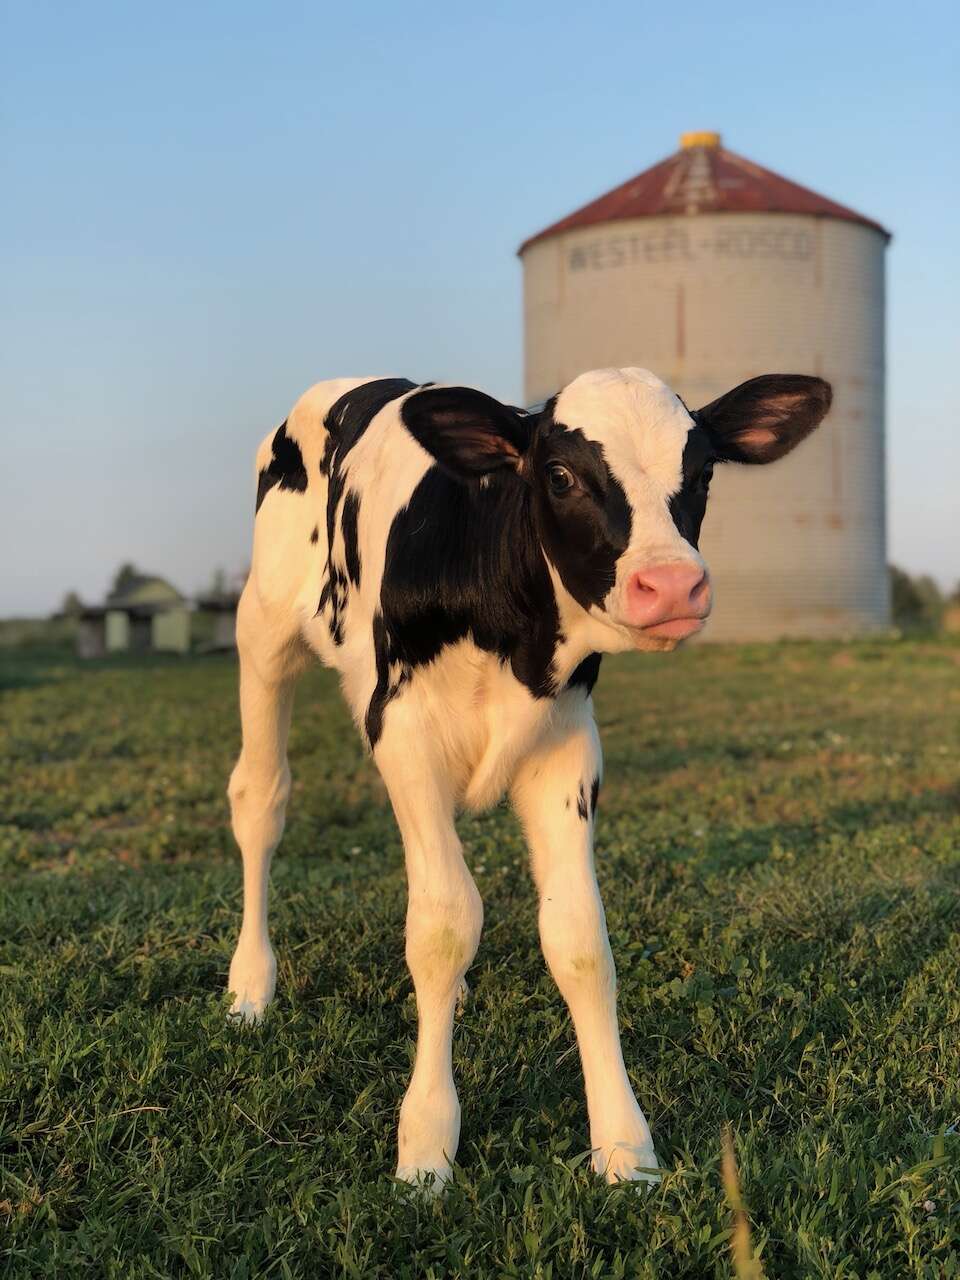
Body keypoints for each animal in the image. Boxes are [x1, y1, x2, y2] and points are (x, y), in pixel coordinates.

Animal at [227, 366, 834, 1182]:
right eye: (560, 475)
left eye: (704, 472)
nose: (673, 586)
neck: (508, 623)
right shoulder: (403, 736)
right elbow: (443, 924)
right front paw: (427, 1144)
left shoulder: (568, 748)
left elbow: (579, 940)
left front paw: (624, 1143)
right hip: (262, 631)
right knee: (261, 800)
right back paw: (250, 985)